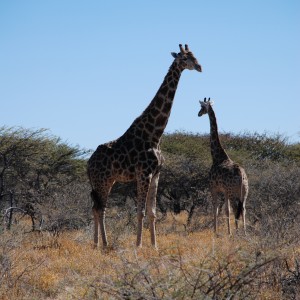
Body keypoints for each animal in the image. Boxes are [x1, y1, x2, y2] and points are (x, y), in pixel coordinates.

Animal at [88, 42, 203, 248]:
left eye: (195, 55)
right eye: (184, 58)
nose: (199, 67)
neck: (155, 134)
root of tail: (87, 164)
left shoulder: (156, 174)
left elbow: (152, 212)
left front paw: (154, 246)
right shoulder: (144, 173)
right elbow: (140, 211)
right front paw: (138, 245)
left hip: (108, 180)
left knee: (97, 208)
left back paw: (98, 244)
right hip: (102, 180)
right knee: (100, 208)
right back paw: (104, 244)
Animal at [198, 98, 250, 234]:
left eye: (202, 107)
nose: (198, 114)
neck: (217, 156)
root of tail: (241, 175)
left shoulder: (213, 187)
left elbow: (216, 209)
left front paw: (216, 232)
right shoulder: (225, 191)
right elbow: (226, 210)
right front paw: (228, 231)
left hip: (233, 192)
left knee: (237, 209)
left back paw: (238, 232)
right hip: (244, 192)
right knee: (243, 209)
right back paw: (244, 232)